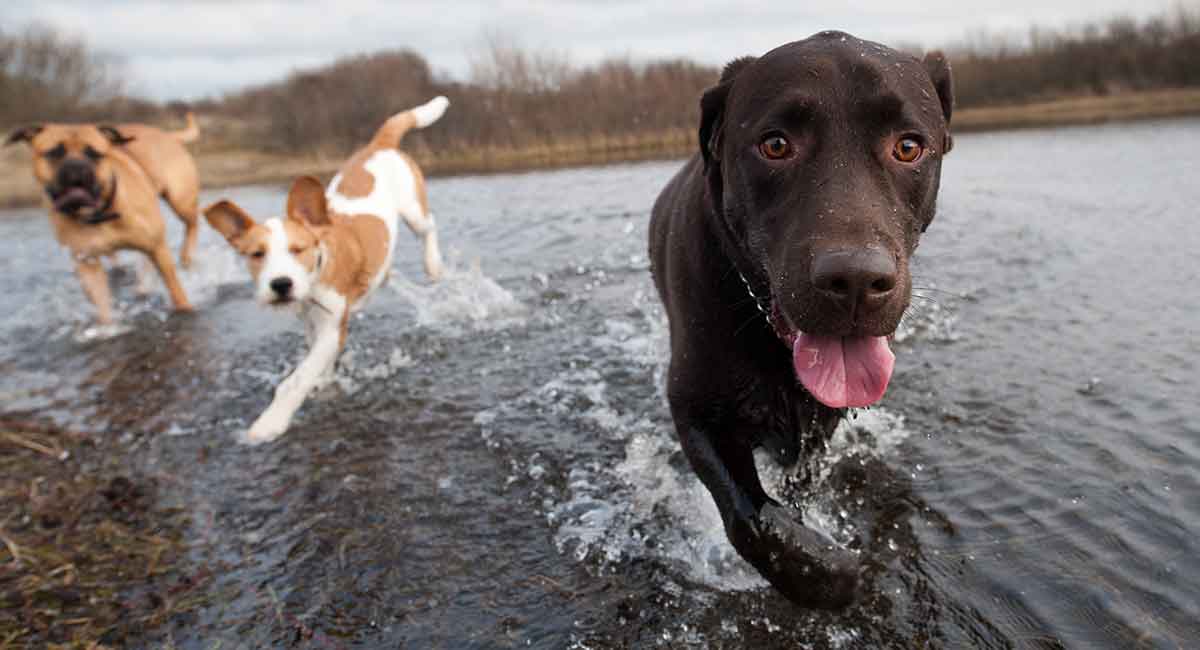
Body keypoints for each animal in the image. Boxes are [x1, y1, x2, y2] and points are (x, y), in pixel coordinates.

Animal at [7, 123, 194, 323]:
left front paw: (185, 309)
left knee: (193, 223)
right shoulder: (86, 263)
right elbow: (102, 304)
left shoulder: (157, 247)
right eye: (54, 153)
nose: (76, 168)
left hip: (180, 200)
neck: (98, 214)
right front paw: (107, 326)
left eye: (94, 154)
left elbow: (175, 288)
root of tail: (165, 134)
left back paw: (185, 256)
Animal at [206, 95, 451, 443]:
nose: (281, 284)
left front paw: (269, 423)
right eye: (256, 254)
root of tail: (379, 145)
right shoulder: (312, 322)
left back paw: (433, 265)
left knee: (429, 226)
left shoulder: (333, 326)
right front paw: (323, 382)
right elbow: (315, 364)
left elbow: (296, 379)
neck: (318, 273)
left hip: (413, 210)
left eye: (298, 249)